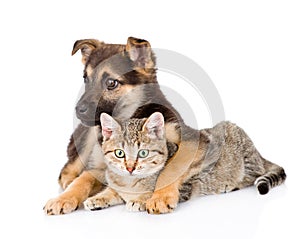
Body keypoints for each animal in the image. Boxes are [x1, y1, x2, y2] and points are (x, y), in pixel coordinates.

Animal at [84, 112, 286, 211]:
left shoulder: (187, 186)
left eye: (143, 153)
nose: (130, 167)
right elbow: (113, 191)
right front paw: (98, 198)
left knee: (252, 175)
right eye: (119, 153)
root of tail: (259, 155)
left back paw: (230, 184)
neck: (129, 181)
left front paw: (140, 201)